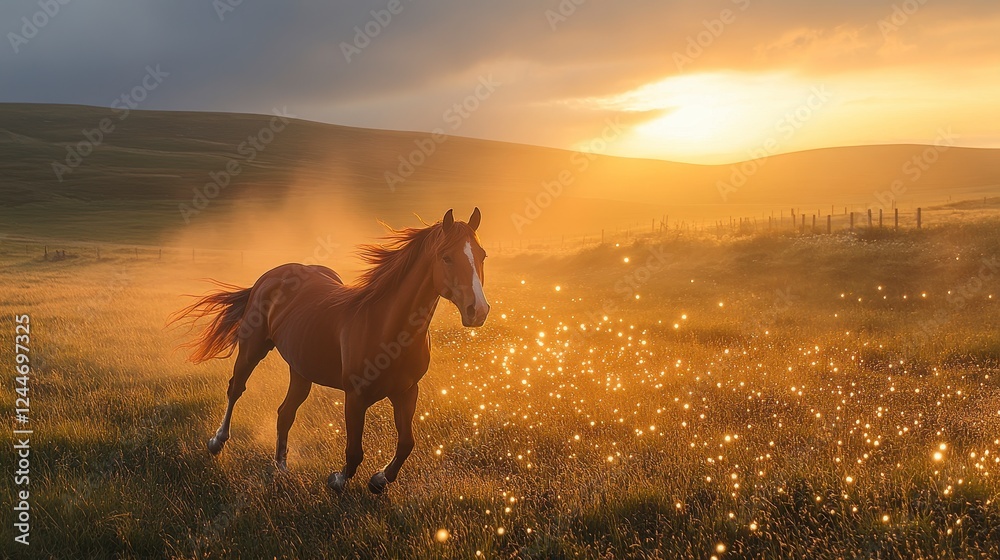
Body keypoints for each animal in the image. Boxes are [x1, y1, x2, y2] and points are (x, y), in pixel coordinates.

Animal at [171, 208, 489, 494]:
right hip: (253, 348)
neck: (386, 328)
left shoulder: (407, 391)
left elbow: (406, 443)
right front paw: (337, 480)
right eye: (447, 257)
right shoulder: (356, 396)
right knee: (236, 389)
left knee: (285, 412)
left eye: (482, 255)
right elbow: (354, 451)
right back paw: (217, 443)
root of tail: (273, 274)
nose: (478, 311)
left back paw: (281, 467)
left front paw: (378, 480)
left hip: (301, 369)